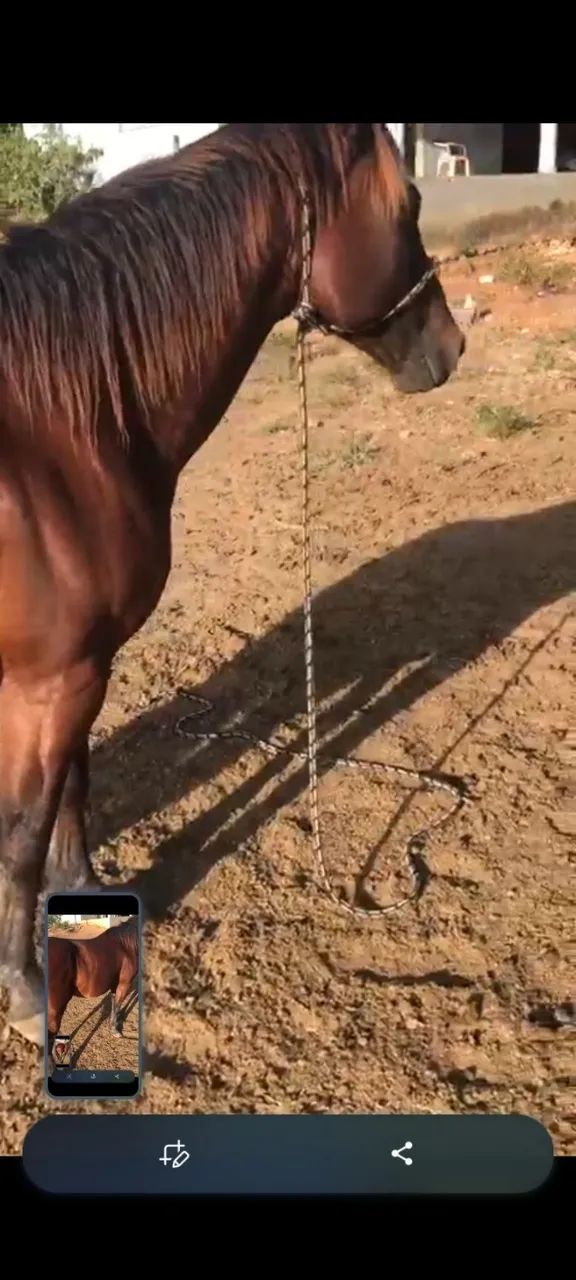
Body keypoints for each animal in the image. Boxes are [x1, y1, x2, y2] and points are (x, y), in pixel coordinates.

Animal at [0, 123, 464, 1048]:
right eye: (411, 201)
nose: (453, 346)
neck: (57, 440)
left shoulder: (79, 668)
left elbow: (72, 790)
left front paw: (89, 898)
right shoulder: (50, 680)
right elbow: (29, 829)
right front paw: (29, 989)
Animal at [47, 918, 139, 1062]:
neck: (126, 946)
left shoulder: (115, 985)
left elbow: (114, 1005)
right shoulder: (124, 984)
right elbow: (118, 1005)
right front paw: (115, 1031)